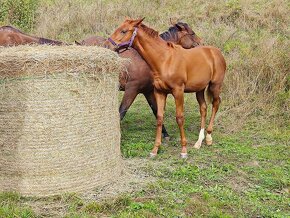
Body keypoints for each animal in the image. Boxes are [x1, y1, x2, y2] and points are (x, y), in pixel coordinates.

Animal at [106, 18, 227, 158]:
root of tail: (216, 52)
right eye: (192, 33)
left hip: (215, 85)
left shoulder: (177, 92)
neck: (165, 60)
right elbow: (159, 116)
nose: (108, 46)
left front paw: (183, 150)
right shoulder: (159, 92)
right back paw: (198, 142)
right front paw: (155, 150)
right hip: (200, 89)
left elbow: (179, 118)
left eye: (124, 31)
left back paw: (208, 138)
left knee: (216, 104)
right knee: (203, 108)